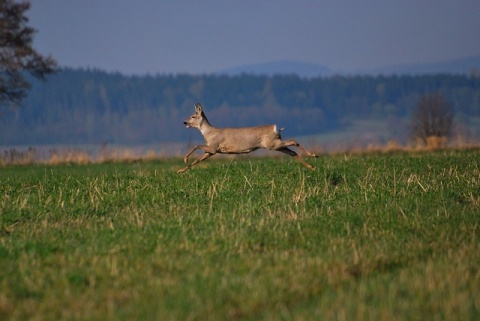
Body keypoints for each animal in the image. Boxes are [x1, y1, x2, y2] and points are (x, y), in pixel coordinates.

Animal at [178, 102, 316, 172]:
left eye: (193, 116)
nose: (184, 122)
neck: (209, 133)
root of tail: (276, 128)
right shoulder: (212, 151)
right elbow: (197, 160)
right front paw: (181, 171)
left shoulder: (213, 147)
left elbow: (196, 145)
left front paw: (184, 159)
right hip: (276, 144)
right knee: (293, 152)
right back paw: (312, 167)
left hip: (272, 144)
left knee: (293, 141)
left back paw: (313, 155)